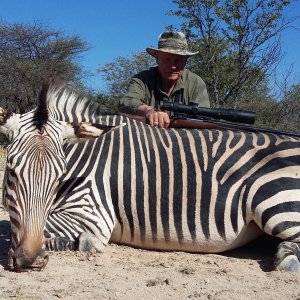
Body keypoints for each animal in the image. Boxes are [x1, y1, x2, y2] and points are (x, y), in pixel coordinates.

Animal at [0, 77, 298, 272]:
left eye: (60, 176)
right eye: (11, 170)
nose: (30, 260)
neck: (83, 155)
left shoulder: (92, 213)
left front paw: (79, 241)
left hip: (275, 201)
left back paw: (286, 260)